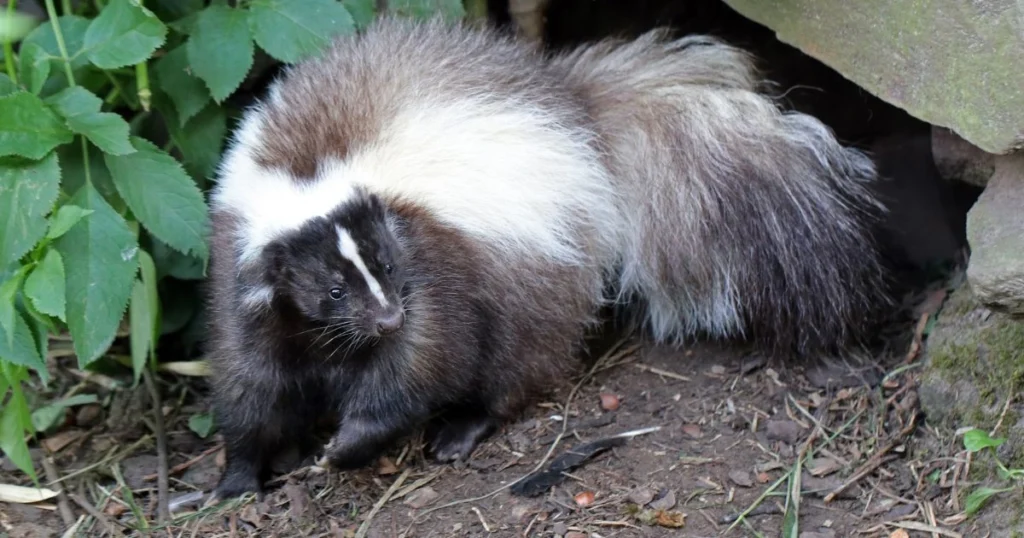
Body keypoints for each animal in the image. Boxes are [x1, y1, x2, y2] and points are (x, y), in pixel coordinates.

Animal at [205, 15, 888, 495]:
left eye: (389, 267)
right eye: (333, 290)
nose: (388, 318)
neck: (316, 171)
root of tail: (572, 108)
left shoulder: (438, 256)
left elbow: (423, 360)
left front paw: (344, 447)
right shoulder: (247, 278)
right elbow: (249, 379)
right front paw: (239, 476)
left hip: (537, 260)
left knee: (518, 354)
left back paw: (464, 427)